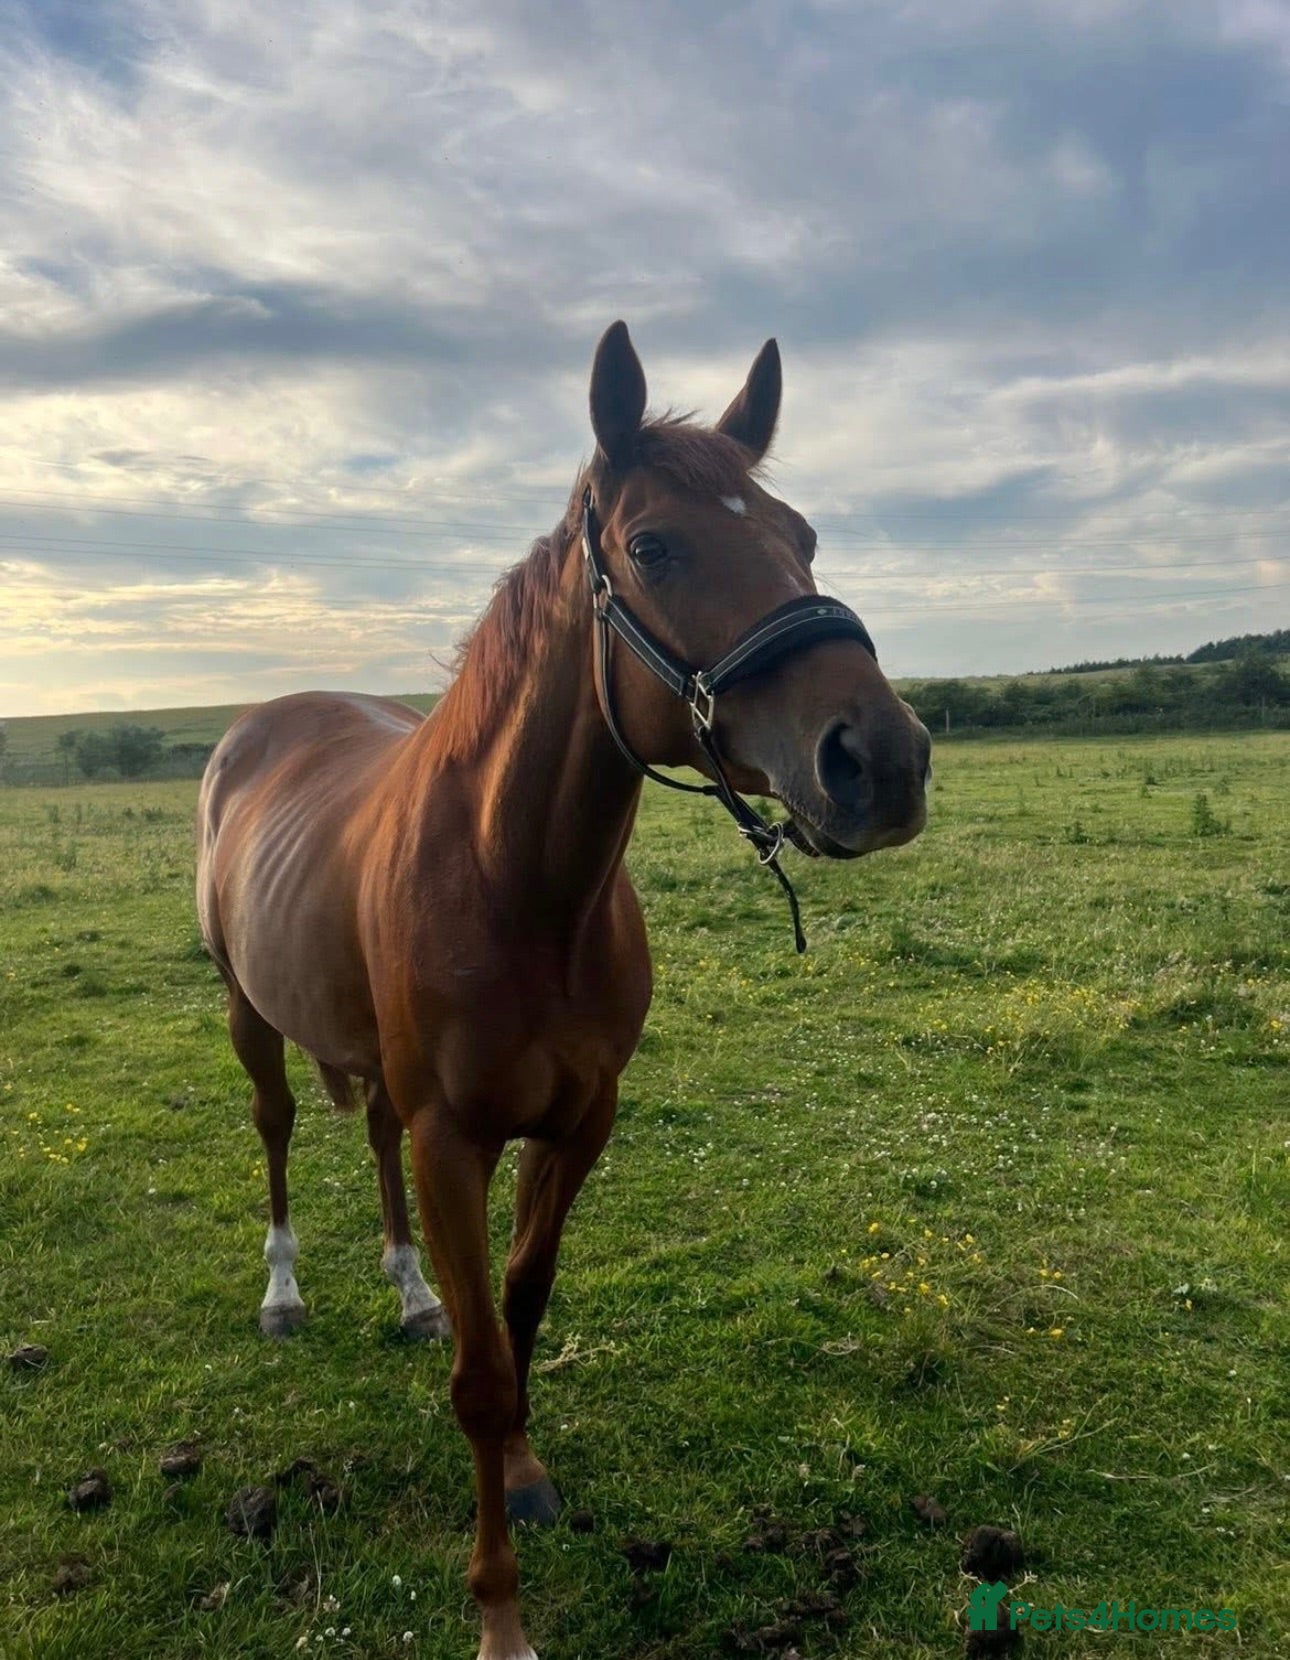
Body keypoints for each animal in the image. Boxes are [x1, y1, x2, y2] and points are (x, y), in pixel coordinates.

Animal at [196, 321, 931, 1660]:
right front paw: (500, 1612)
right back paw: (285, 1290)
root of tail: (257, 728)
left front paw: (529, 1475)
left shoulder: (578, 1122)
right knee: (274, 1129)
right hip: (248, 1016)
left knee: (369, 1144)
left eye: (801, 534)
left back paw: (409, 1292)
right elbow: (485, 1374)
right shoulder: (454, 1139)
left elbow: (521, 1312)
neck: (517, 881)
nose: (883, 759)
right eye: (655, 546)